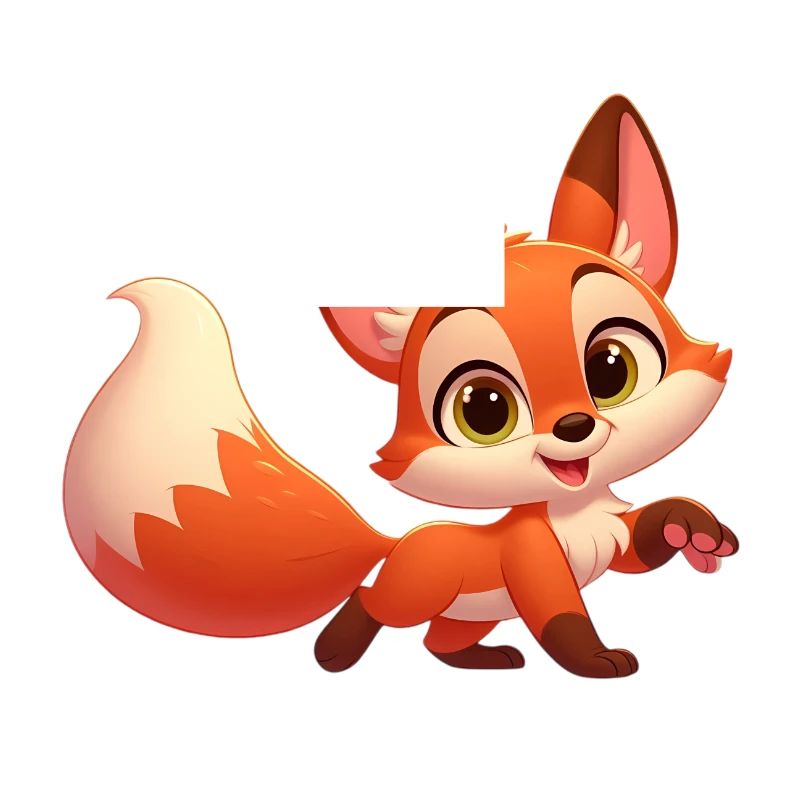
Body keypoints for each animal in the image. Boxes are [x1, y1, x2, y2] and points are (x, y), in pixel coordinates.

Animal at [64, 95, 737, 678]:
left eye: (610, 369)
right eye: (484, 410)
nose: (575, 428)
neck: (574, 511)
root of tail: (395, 541)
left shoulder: (615, 532)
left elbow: (643, 543)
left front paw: (693, 527)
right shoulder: (533, 562)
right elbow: (560, 618)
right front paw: (596, 661)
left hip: (465, 614)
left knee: (440, 641)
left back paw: (484, 659)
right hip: (416, 588)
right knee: (374, 601)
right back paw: (335, 650)